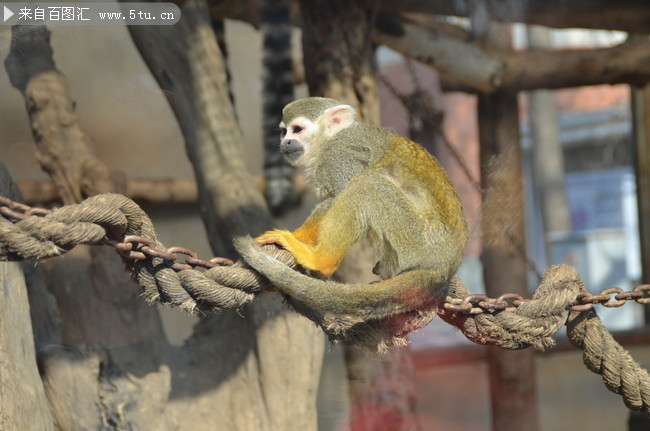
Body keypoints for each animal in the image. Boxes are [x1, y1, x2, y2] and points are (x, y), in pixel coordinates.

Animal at [233, 98, 466, 320]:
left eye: (297, 129)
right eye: (283, 131)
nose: (285, 141)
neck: (329, 139)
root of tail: (443, 267)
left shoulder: (340, 155)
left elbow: (338, 194)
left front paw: (299, 236)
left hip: (419, 240)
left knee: (366, 184)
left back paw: (320, 260)